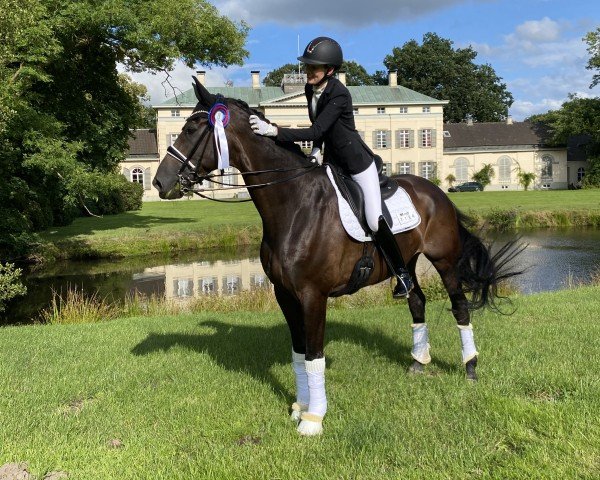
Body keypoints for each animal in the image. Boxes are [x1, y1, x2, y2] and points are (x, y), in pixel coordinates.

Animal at [152, 77, 524, 436]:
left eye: (191, 129)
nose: (158, 182)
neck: (294, 205)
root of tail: (437, 192)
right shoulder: (285, 294)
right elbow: (298, 352)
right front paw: (300, 406)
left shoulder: (312, 295)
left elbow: (314, 354)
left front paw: (313, 419)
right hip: (407, 261)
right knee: (417, 300)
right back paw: (418, 362)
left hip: (444, 262)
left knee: (460, 307)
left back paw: (470, 367)